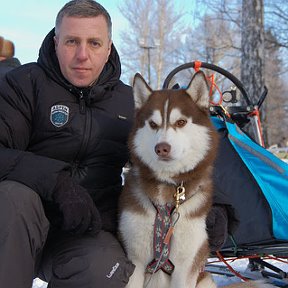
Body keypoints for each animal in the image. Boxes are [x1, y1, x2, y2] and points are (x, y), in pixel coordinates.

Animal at [119, 72, 274, 288]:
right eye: (153, 124)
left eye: (180, 122)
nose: (162, 148)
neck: (168, 194)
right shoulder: (135, 260)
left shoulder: (187, 264)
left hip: (205, 278)